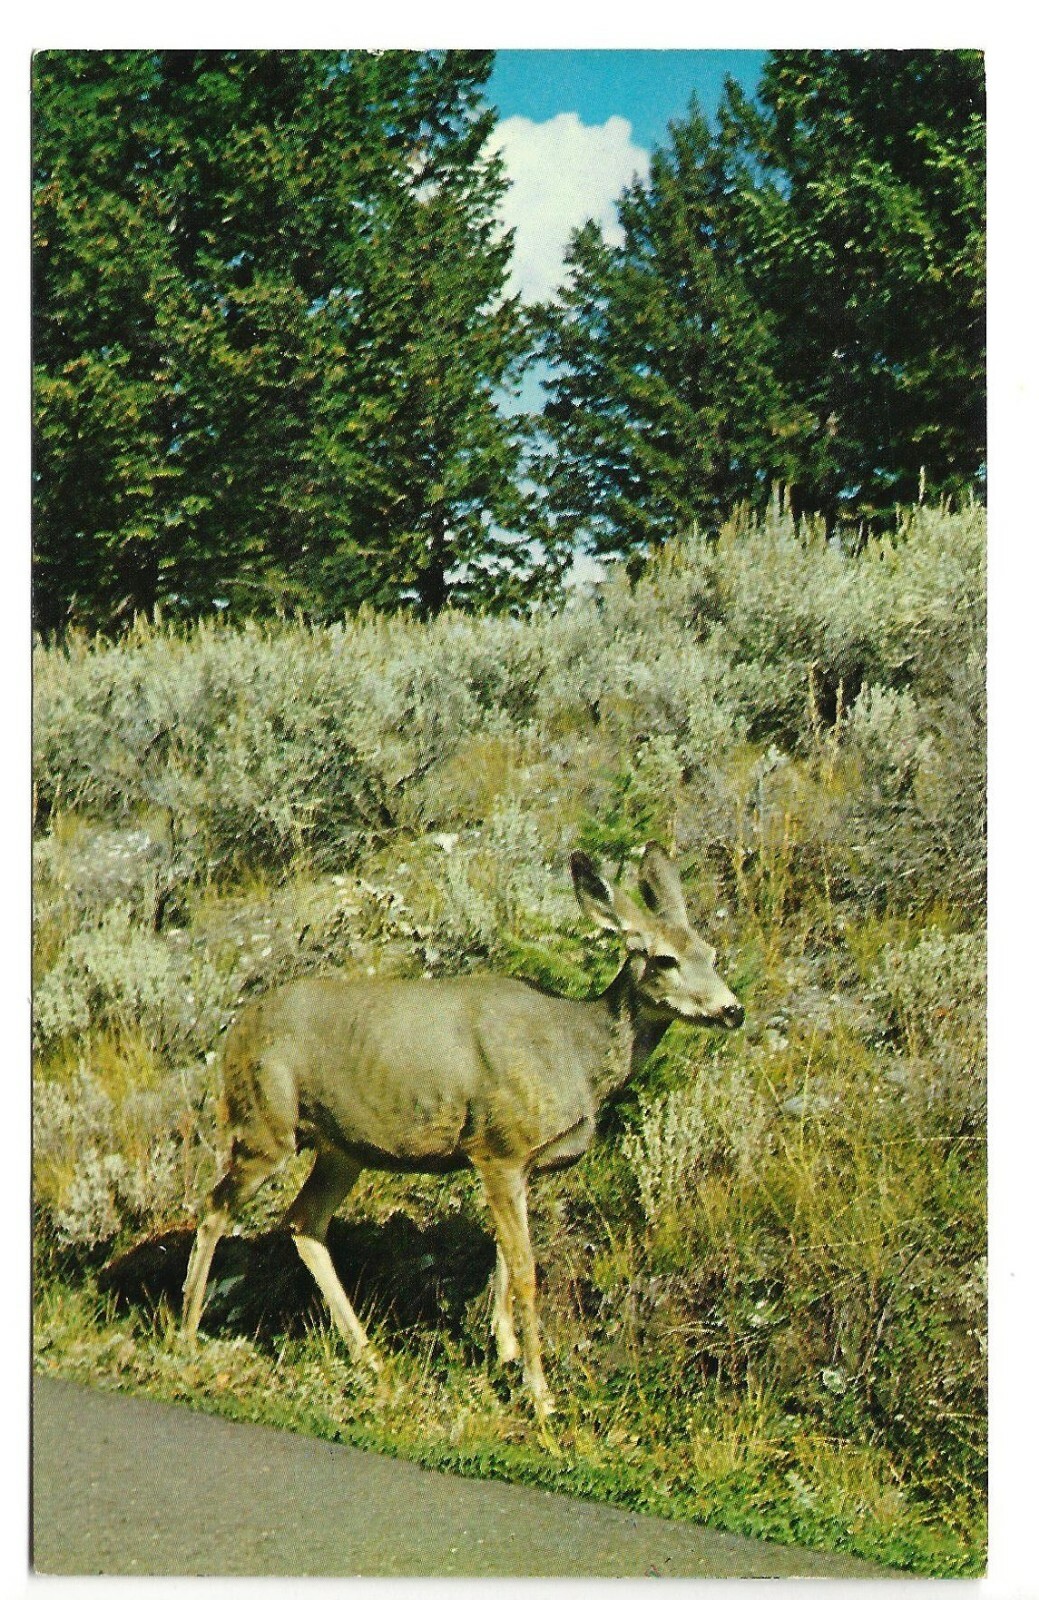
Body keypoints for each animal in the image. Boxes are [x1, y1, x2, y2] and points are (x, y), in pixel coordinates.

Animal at [182, 843, 744, 1420]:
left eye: (711, 953)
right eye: (665, 959)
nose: (733, 1010)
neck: (574, 1054)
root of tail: (233, 1033)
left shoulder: (522, 1162)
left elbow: (504, 1261)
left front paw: (506, 1352)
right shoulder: (496, 1147)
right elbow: (525, 1272)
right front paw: (540, 1394)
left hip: (342, 1149)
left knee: (303, 1221)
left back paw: (369, 1357)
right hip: (265, 1123)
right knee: (214, 1207)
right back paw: (186, 1334)